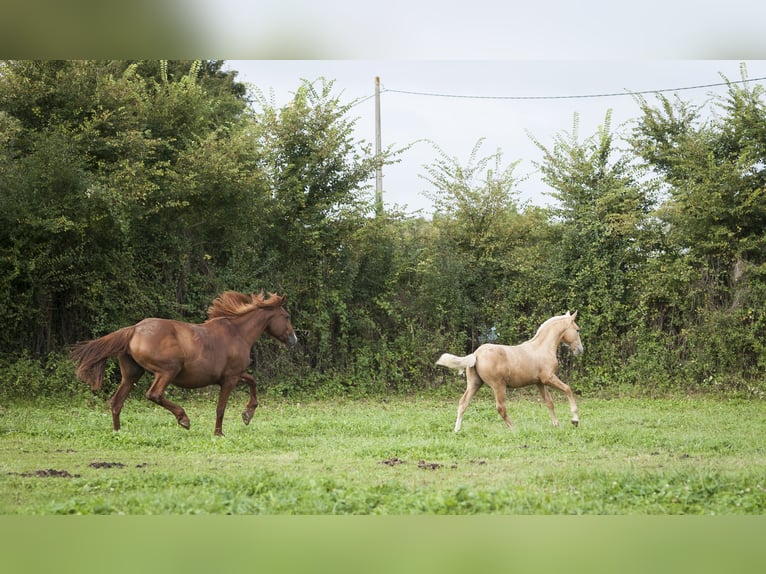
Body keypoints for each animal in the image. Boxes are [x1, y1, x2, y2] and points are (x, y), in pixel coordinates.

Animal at [70, 292, 296, 436]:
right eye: (286, 316)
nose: (294, 340)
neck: (237, 333)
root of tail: (133, 329)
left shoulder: (233, 375)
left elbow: (252, 381)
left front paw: (247, 414)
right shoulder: (230, 378)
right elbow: (221, 407)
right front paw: (219, 433)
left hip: (131, 375)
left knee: (116, 402)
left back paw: (118, 432)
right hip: (167, 371)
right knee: (153, 394)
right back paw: (184, 419)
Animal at [438, 316, 588, 432]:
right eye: (577, 330)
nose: (580, 350)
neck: (542, 347)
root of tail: (476, 354)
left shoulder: (539, 382)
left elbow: (549, 402)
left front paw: (557, 424)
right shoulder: (548, 378)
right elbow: (567, 389)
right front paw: (575, 420)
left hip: (475, 384)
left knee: (463, 403)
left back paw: (456, 430)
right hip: (498, 386)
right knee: (500, 407)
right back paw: (514, 428)